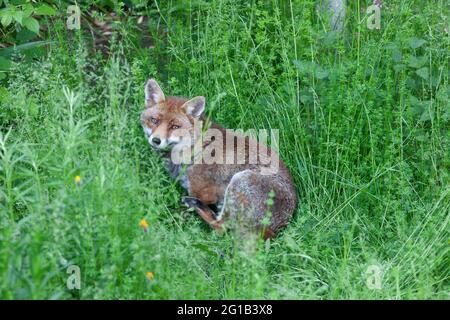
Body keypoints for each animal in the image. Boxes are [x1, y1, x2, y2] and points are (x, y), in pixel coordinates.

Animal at [139, 79, 298, 240]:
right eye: (154, 120)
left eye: (175, 126)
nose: (156, 140)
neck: (195, 147)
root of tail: (278, 228)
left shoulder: (202, 193)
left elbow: (181, 211)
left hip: (240, 180)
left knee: (221, 228)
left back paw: (195, 205)